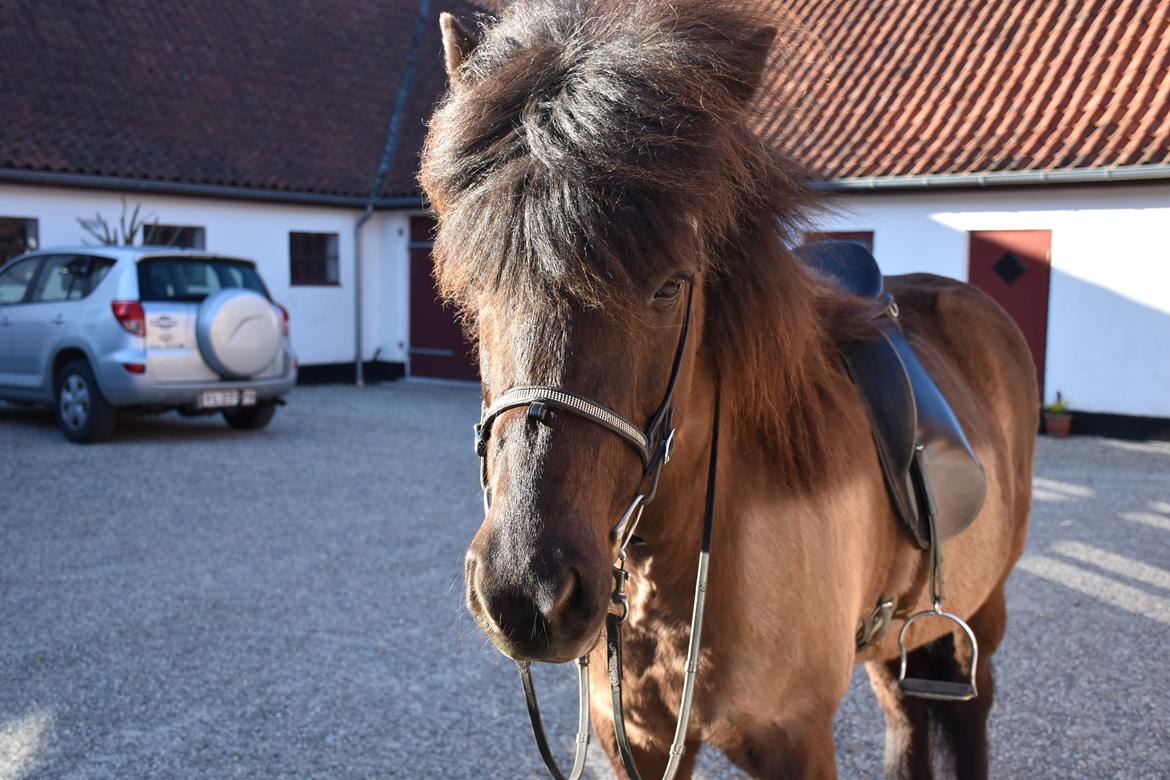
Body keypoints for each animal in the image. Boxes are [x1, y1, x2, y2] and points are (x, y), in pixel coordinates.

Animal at [418, 3, 1034, 776]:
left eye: (671, 284)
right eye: (476, 285)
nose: (527, 591)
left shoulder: (798, 743)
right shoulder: (639, 739)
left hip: (985, 607)